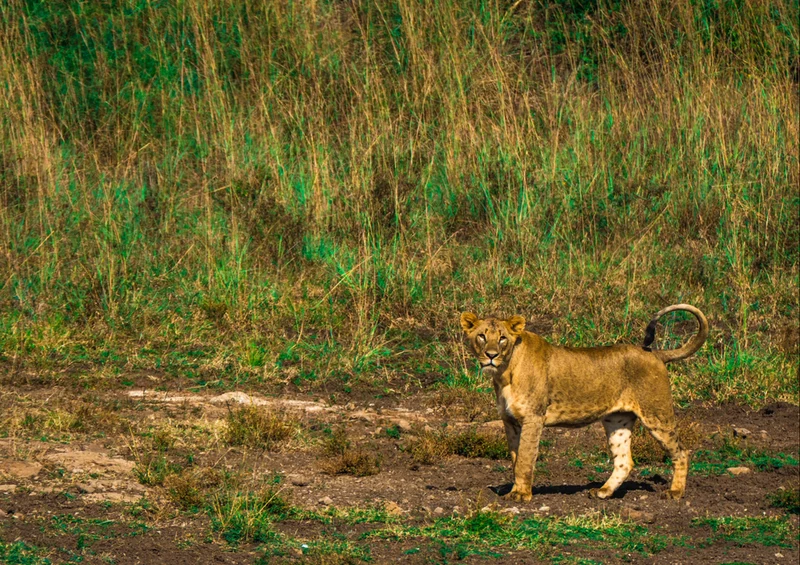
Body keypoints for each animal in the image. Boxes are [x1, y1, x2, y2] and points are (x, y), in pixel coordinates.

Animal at [460, 304, 708, 502]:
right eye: (482, 336)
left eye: (502, 338)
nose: (491, 355)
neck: (504, 372)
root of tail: (655, 354)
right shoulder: (510, 420)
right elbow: (515, 458)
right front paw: (516, 489)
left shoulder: (533, 418)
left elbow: (525, 459)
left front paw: (521, 495)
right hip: (617, 421)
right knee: (624, 461)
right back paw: (603, 492)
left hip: (656, 413)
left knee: (681, 452)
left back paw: (675, 492)